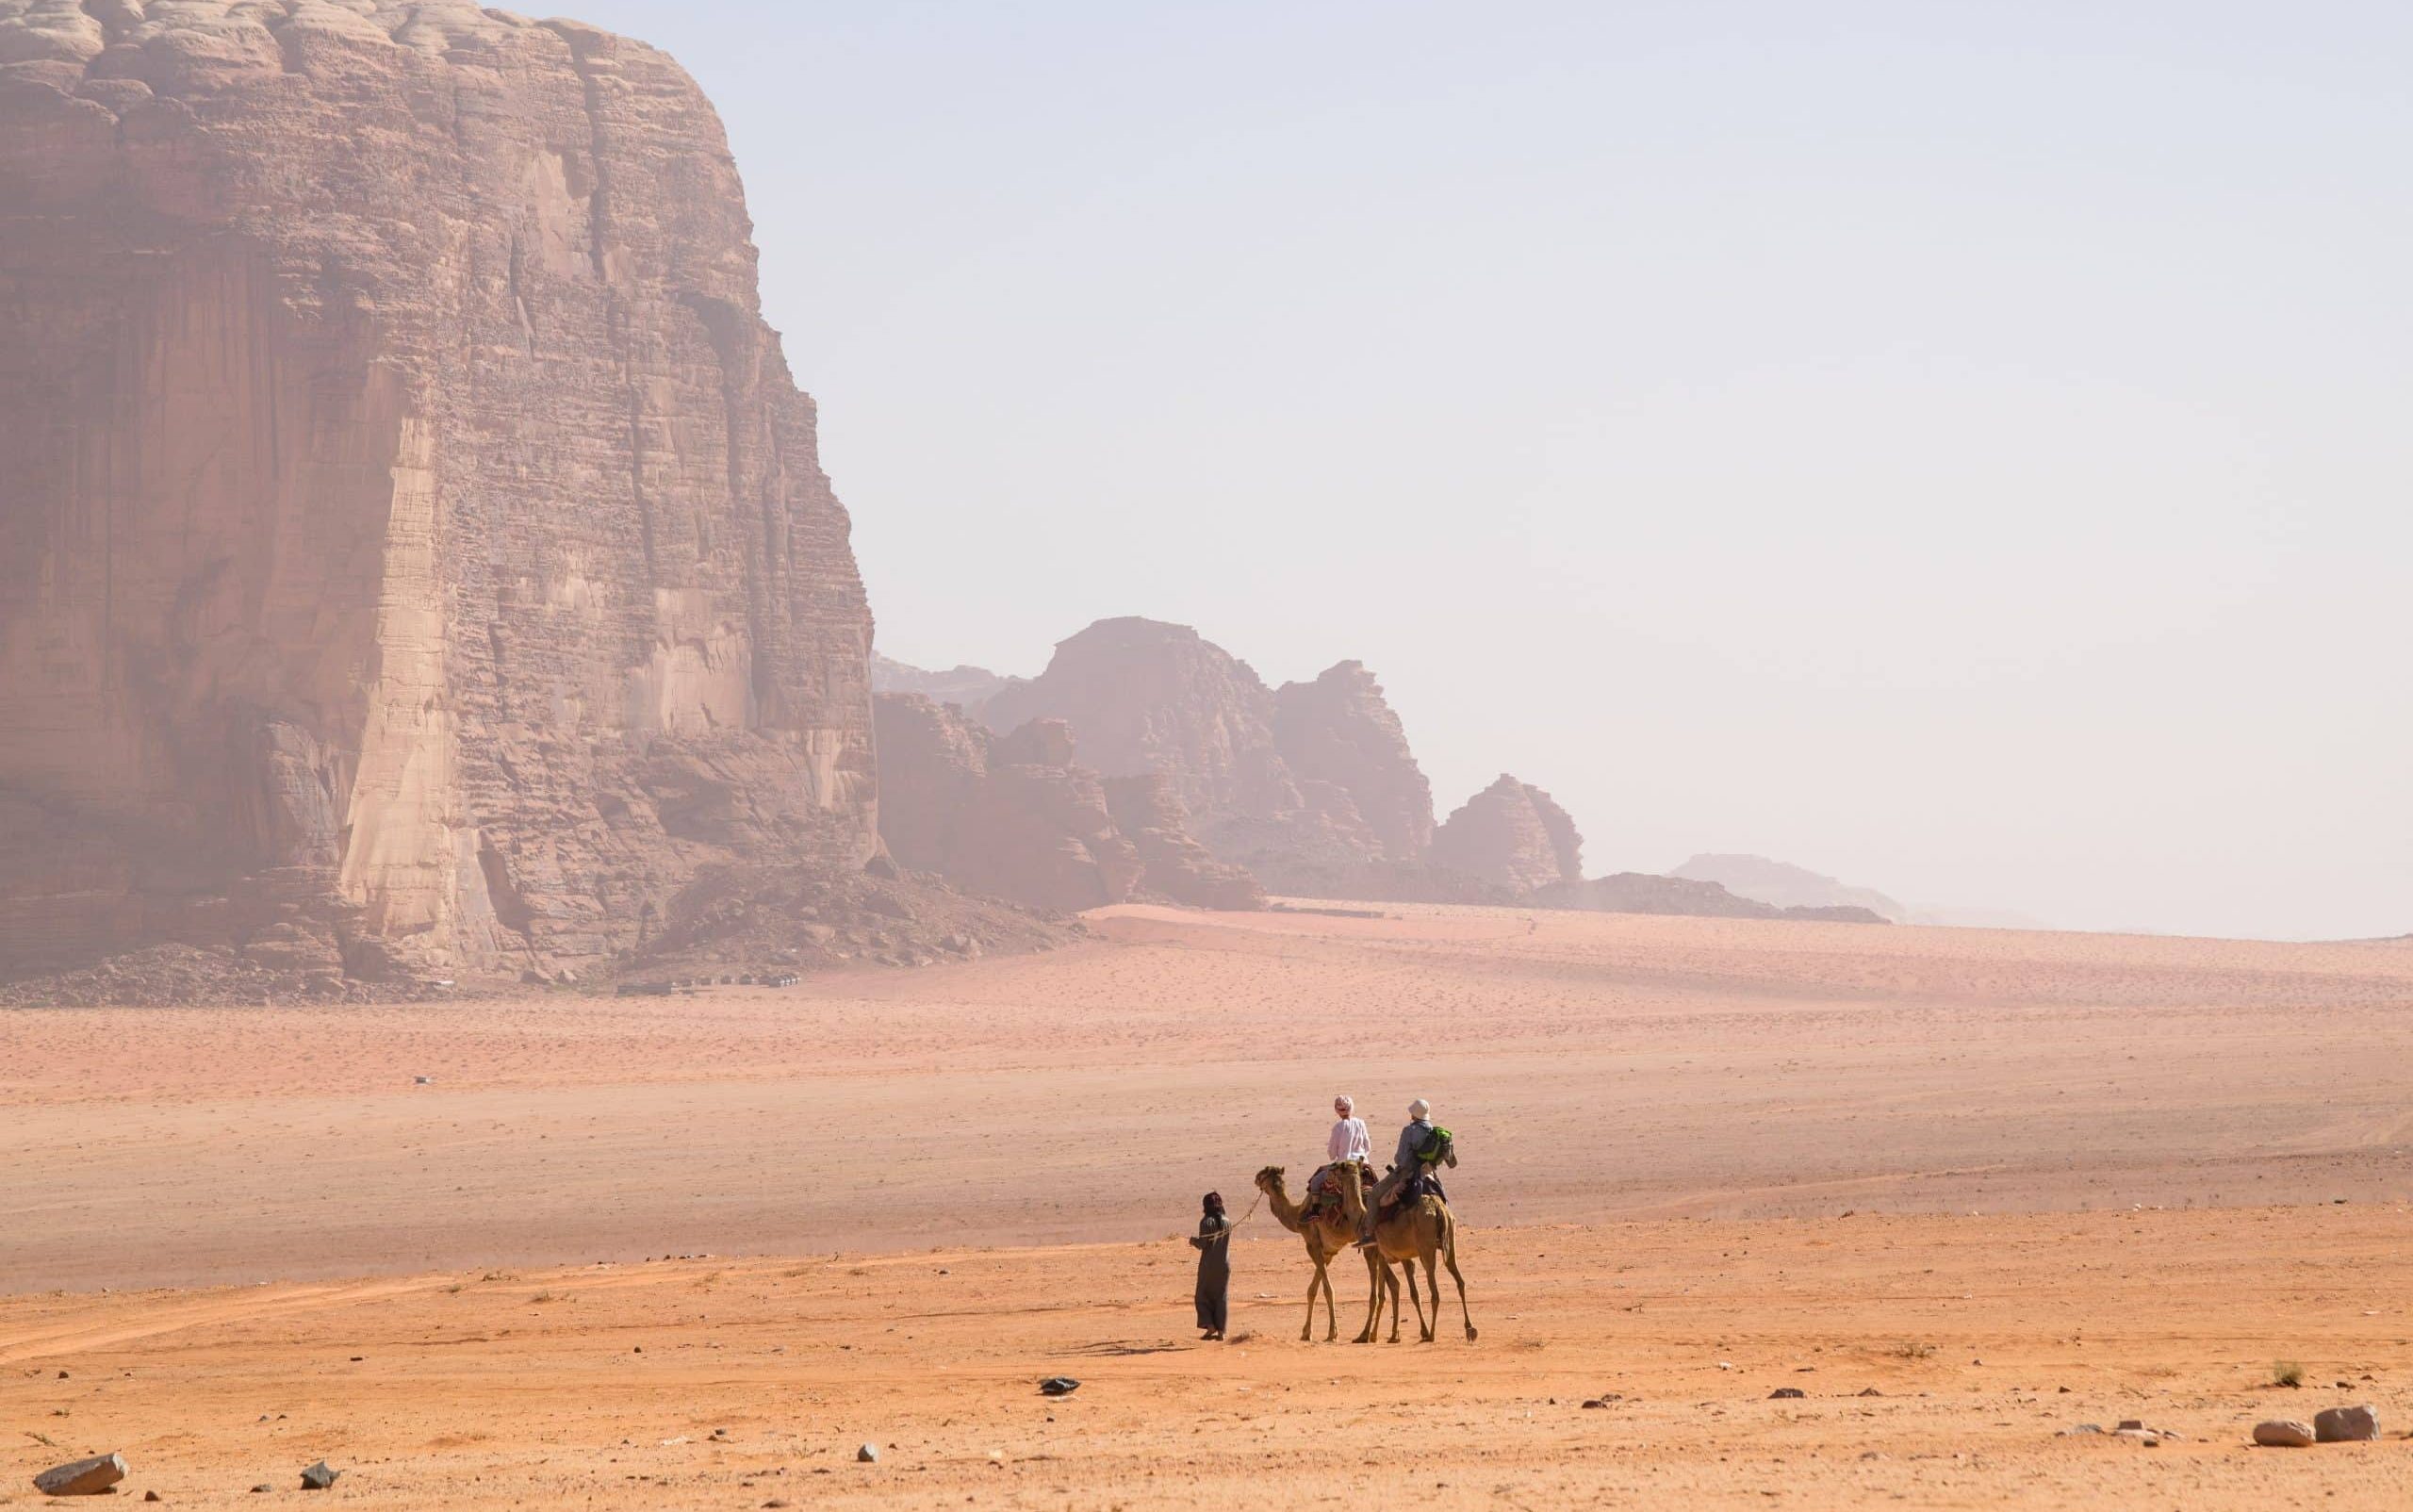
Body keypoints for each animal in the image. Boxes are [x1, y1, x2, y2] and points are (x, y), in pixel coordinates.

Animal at [1255, 1167, 1371, 1340]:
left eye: (1264, 1173)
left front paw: (1332, 1333)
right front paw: (1306, 1332)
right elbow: (1312, 1290)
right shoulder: (1328, 1252)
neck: (1297, 1215)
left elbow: (1327, 1290)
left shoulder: (1312, 1245)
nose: (1256, 1178)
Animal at [1332, 1142, 1476, 1340]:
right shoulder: (1404, 1257)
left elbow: (1379, 1294)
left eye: (1342, 1166)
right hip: (1449, 1239)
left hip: (1426, 1248)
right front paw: (1401, 1333)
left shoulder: (1376, 1253)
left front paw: (1368, 1334)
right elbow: (1411, 1292)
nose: (1331, 1168)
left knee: (1435, 1290)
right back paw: (1469, 1327)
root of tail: (1438, 1208)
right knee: (1459, 1279)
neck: (1361, 1219)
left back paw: (1432, 1334)